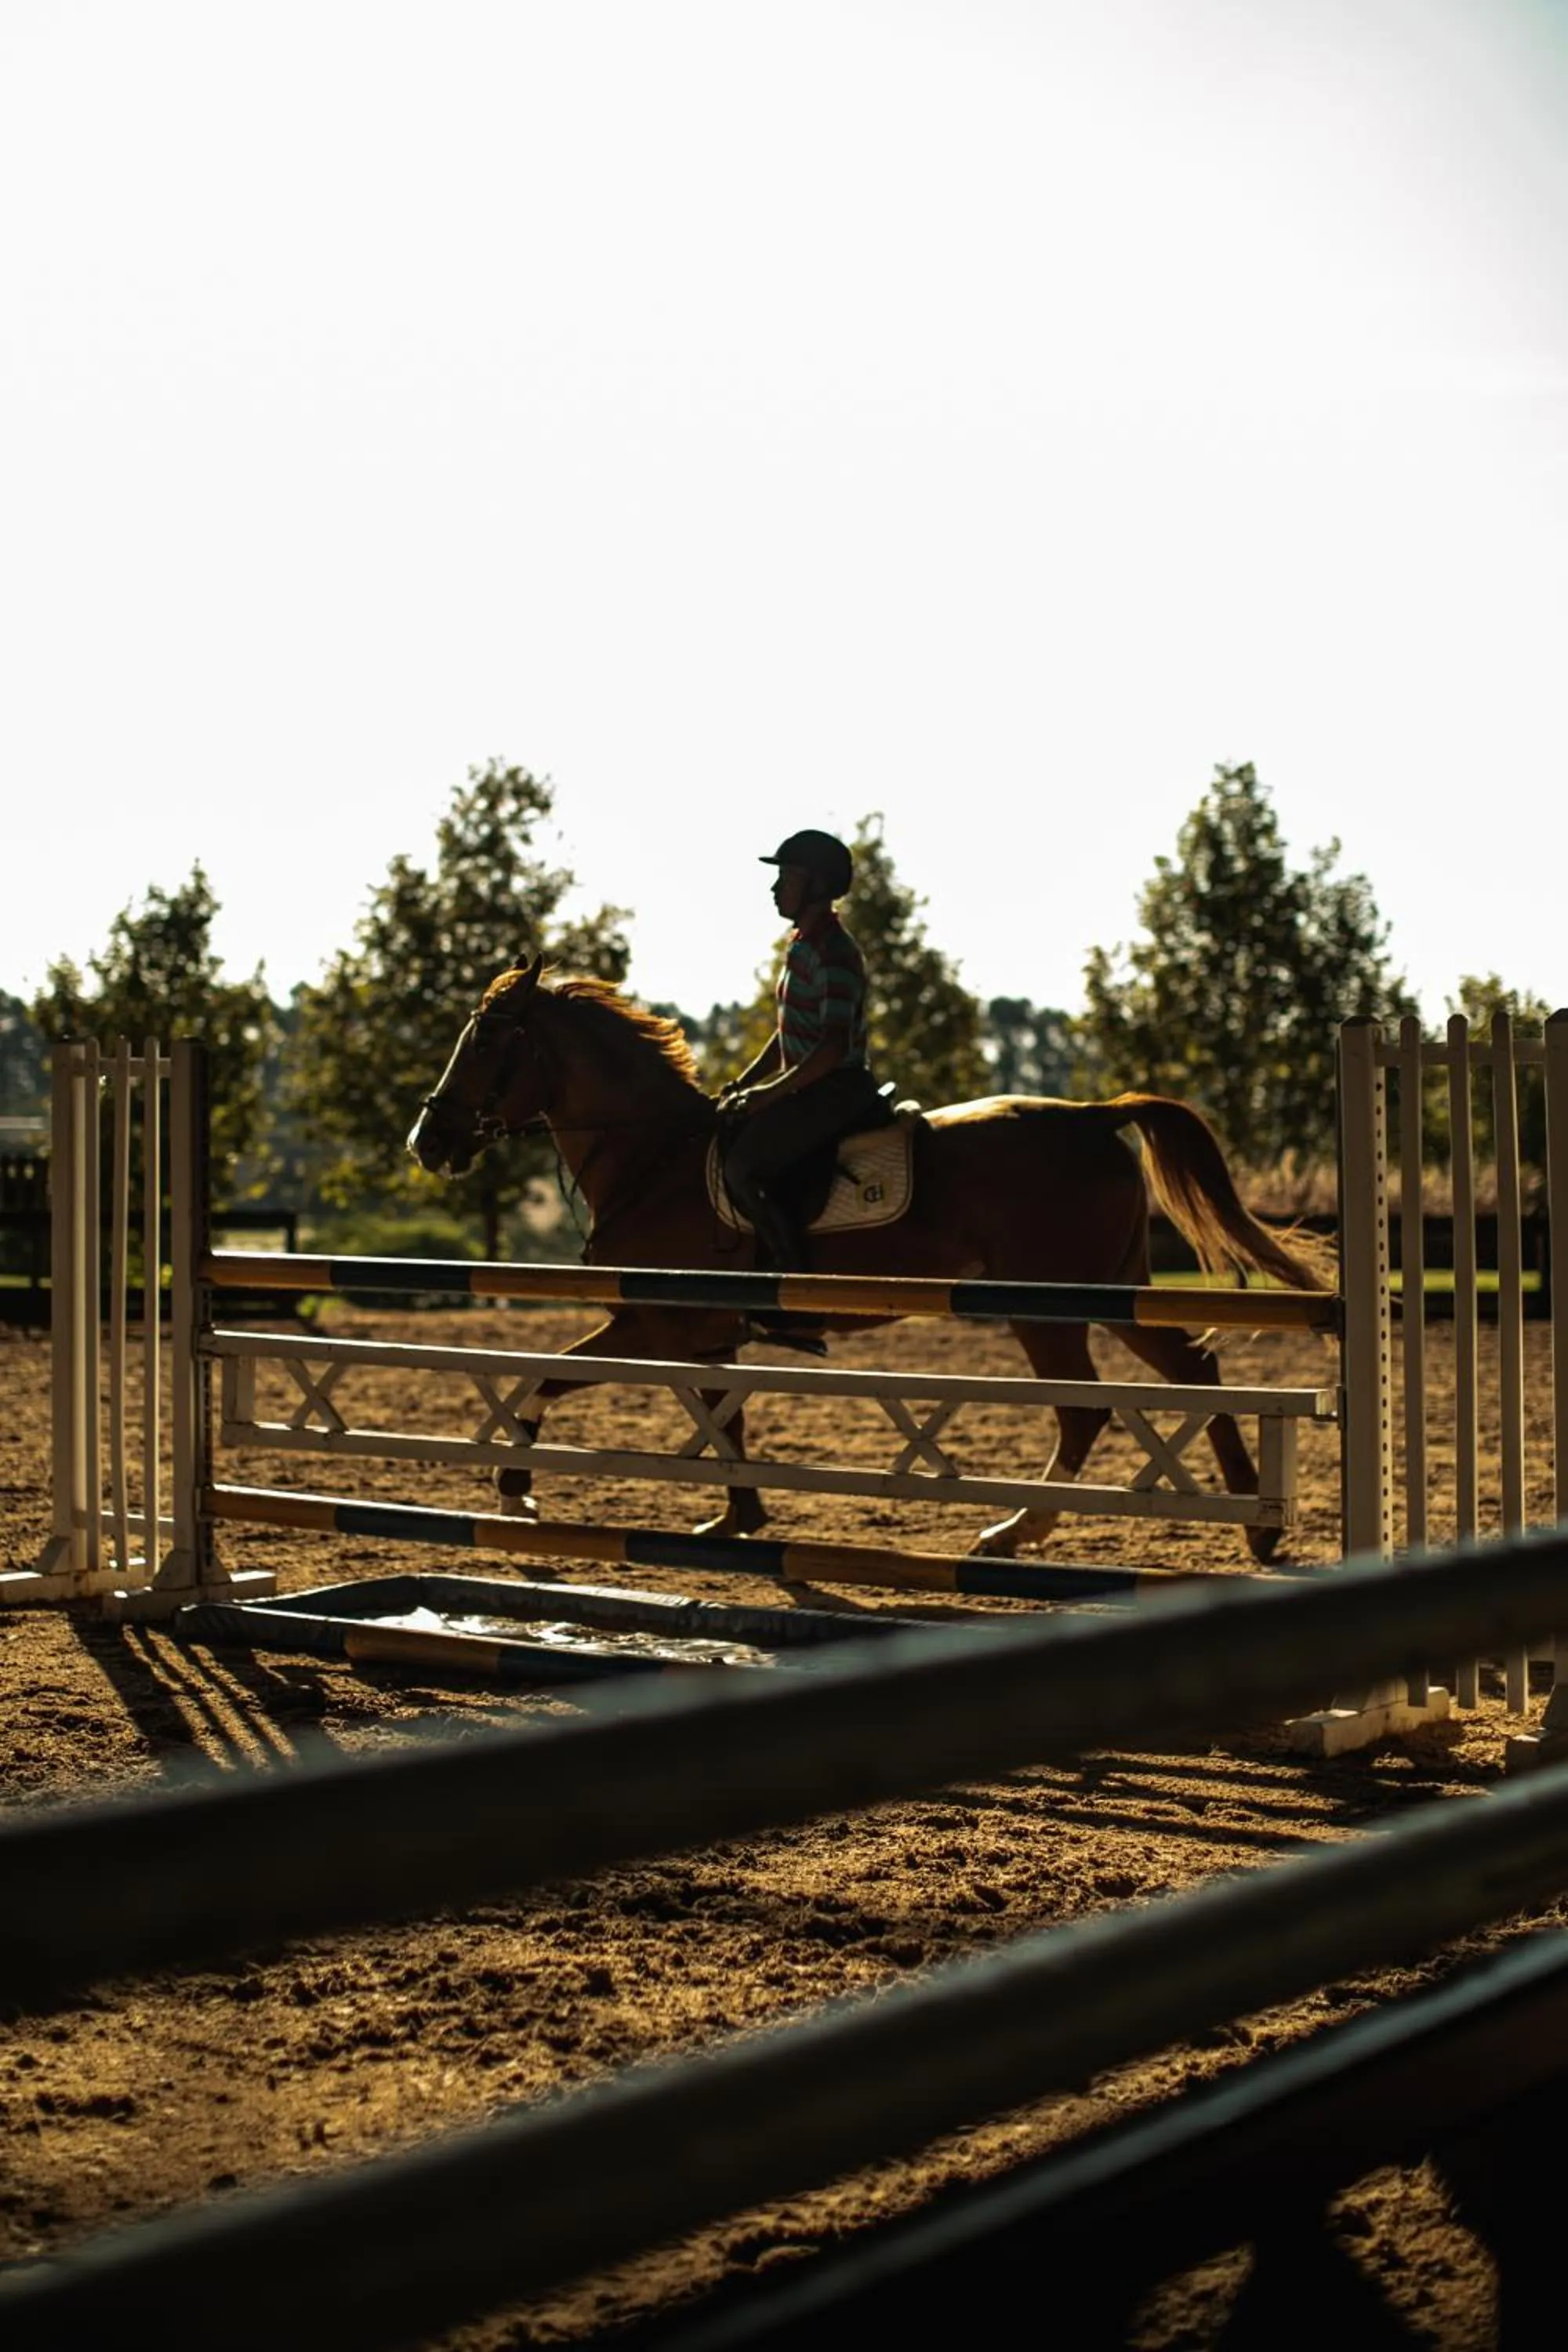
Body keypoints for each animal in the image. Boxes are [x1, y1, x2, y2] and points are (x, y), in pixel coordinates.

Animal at [407, 956, 1333, 1563]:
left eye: (483, 1043)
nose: (428, 1140)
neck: (650, 1157)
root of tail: (1089, 1115)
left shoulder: (653, 1322)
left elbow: (547, 1376)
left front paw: (515, 1488)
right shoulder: (704, 1334)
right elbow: (723, 1418)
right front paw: (739, 1518)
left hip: (1049, 1305)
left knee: (1086, 1411)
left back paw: (1015, 1530)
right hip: (1111, 1287)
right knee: (1191, 1369)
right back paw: (1255, 1525)